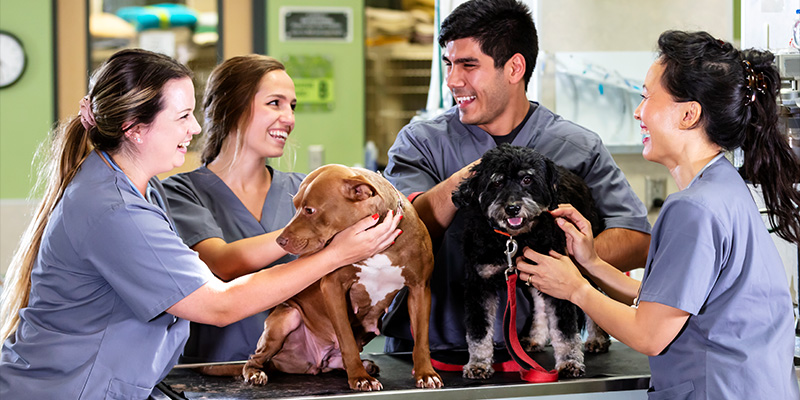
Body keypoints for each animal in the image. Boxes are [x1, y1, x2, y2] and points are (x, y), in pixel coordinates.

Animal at [244, 164, 444, 392]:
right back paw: (254, 373)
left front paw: (426, 373)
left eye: (309, 210)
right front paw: (360, 378)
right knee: (254, 358)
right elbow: (346, 339)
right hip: (287, 318)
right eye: (295, 206)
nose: (279, 240)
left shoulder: (420, 288)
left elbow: (421, 338)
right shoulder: (333, 288)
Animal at [450, 143, 612, 378]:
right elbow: (478, 332)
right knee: (539, 304)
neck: (513, 239)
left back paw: (597, 338)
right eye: (496, 182)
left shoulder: (559, 276)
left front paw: (569, 361)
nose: (512, 208)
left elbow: (565, 330)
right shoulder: (479, 284)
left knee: (593, 292)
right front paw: (478, 363)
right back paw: (536, 337)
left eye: (527, 179)